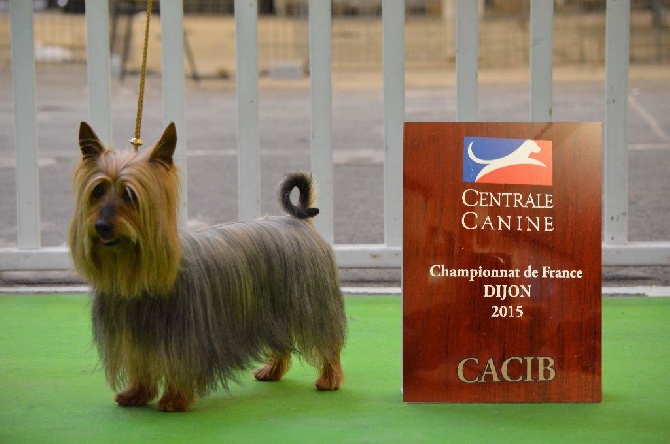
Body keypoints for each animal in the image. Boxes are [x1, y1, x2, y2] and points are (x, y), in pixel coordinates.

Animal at [69, 122, 346, 412]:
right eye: (97, 191)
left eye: (130, 195)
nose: (101, 226)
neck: (137, 271)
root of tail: (298, 222)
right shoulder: (136, 338)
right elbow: (142, 365)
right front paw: (136, 393)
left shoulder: (183, 340)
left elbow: (180, 367)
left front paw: (175, 399)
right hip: (273, 312)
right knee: (280, 343)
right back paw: (272, 370)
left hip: (312, 306)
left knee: (327, 341)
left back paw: (329, 379)